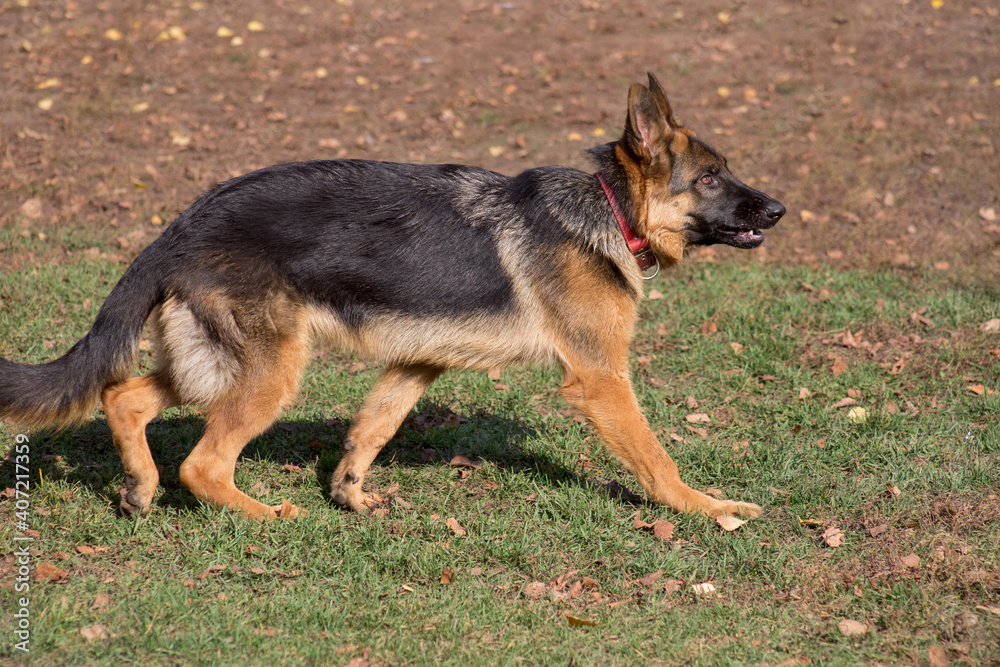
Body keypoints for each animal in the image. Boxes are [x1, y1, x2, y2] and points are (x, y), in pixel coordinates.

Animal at [0, 73, 780, 520]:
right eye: (710, 177)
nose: (777, 210)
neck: (609, 209)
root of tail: (180, 226)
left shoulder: (417, 360)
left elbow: (373, 427)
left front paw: (350, 492)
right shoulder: (601, 380)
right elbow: (658, 458)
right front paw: (706, 509)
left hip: (212, 365)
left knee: (123, 397)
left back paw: (140, 489)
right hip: (268, 373)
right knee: (202, 462)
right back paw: (268, 516)